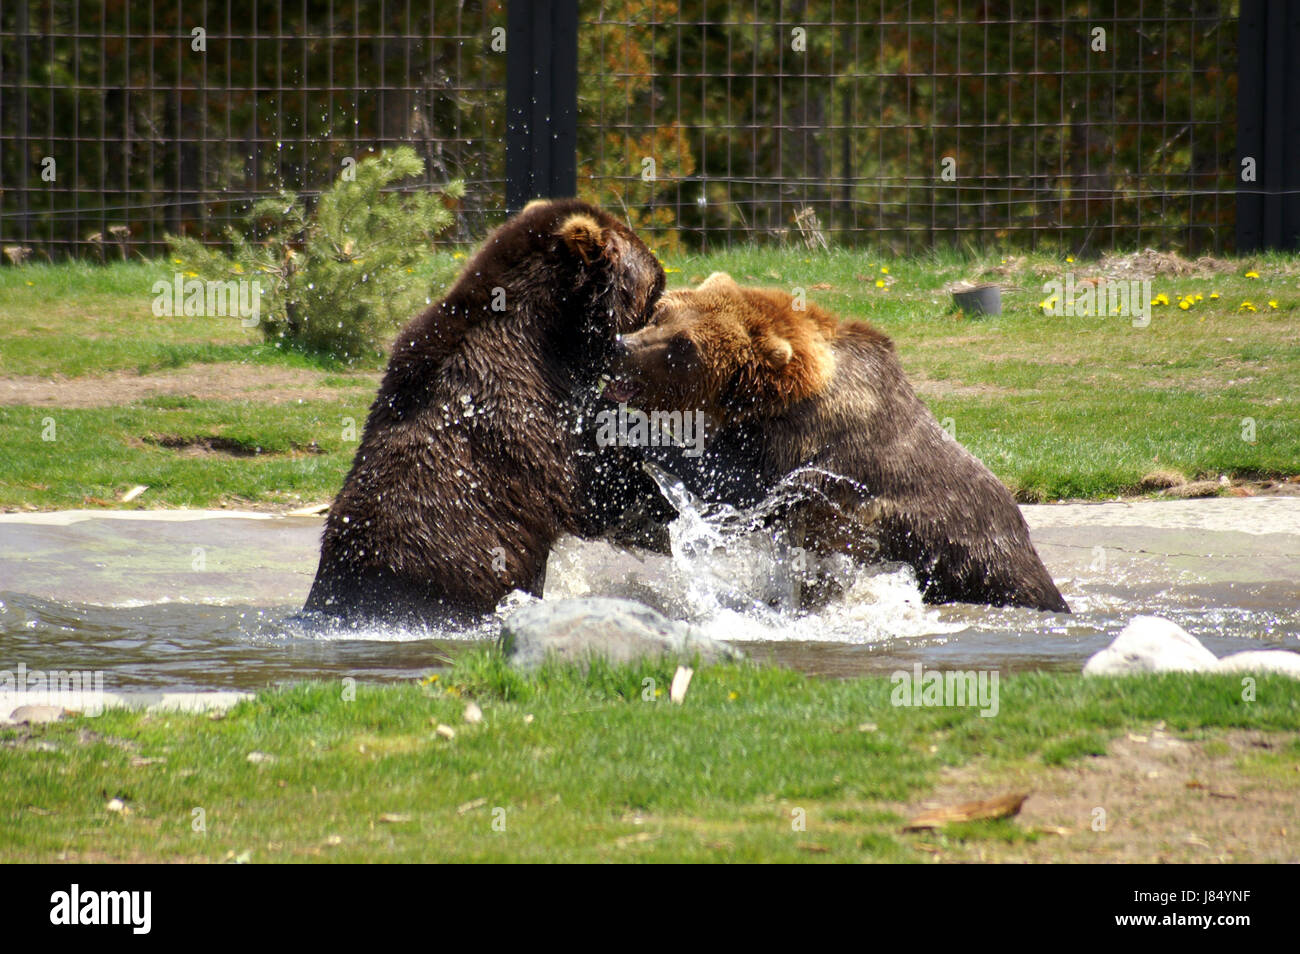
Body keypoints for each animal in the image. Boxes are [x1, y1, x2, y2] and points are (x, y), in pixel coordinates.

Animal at [604, 271, 1070, 613]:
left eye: (683, 346)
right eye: (660, 314)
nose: (620, 347)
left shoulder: (812, 443)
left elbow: (734, 483)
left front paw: (622, 424)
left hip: (963, 556)